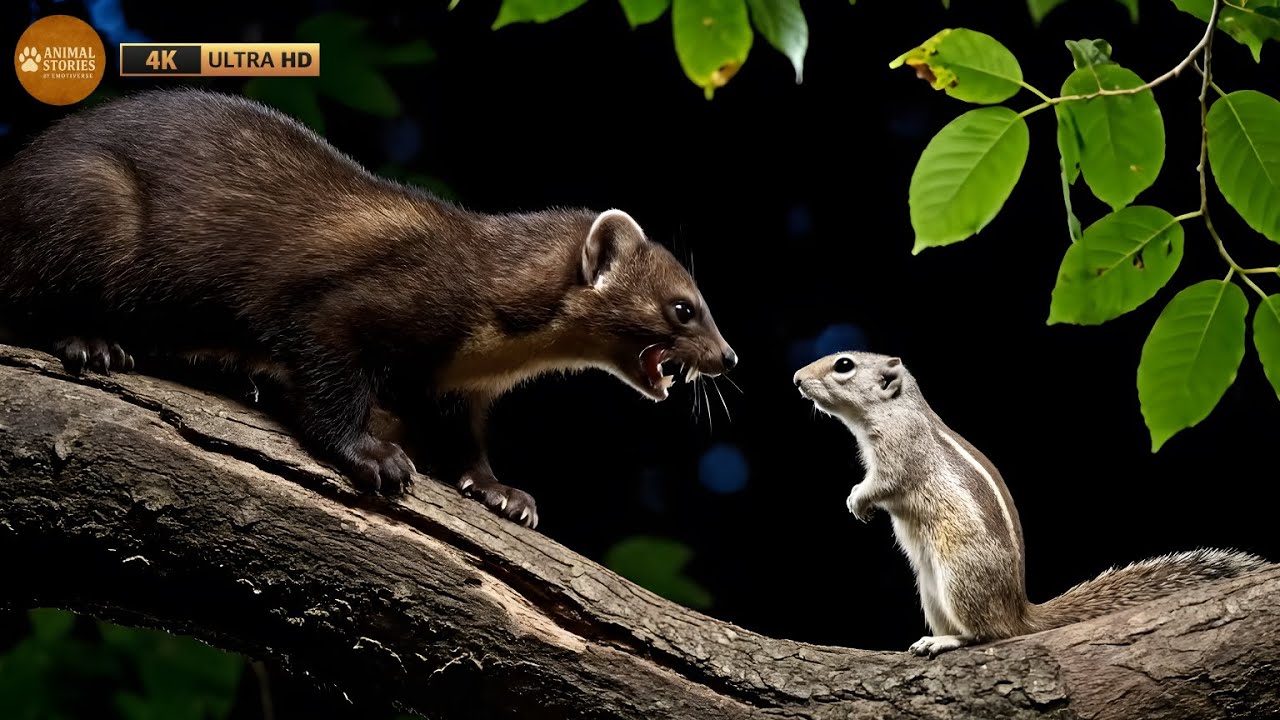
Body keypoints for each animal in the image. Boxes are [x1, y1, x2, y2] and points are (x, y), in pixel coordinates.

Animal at [0, 88, 737, 529]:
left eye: (706, 304)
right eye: (684, 307)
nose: (729, 357)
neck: (488, 348)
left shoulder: (457, 390)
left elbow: (466, 444)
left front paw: (503, 493)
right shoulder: (347, 309)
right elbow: (330, 381)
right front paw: (375, 455)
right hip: (91, 204)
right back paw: (94, 342)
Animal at [793, 350, 1268, 657]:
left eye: (843, 365)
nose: (796, 378)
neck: (894, 411)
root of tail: (1019, 610)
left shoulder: (900, 450)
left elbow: (885, 483)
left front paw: (858, 500)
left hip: (958, 577)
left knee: (989, 634)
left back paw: (948, 640)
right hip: (930, 589)